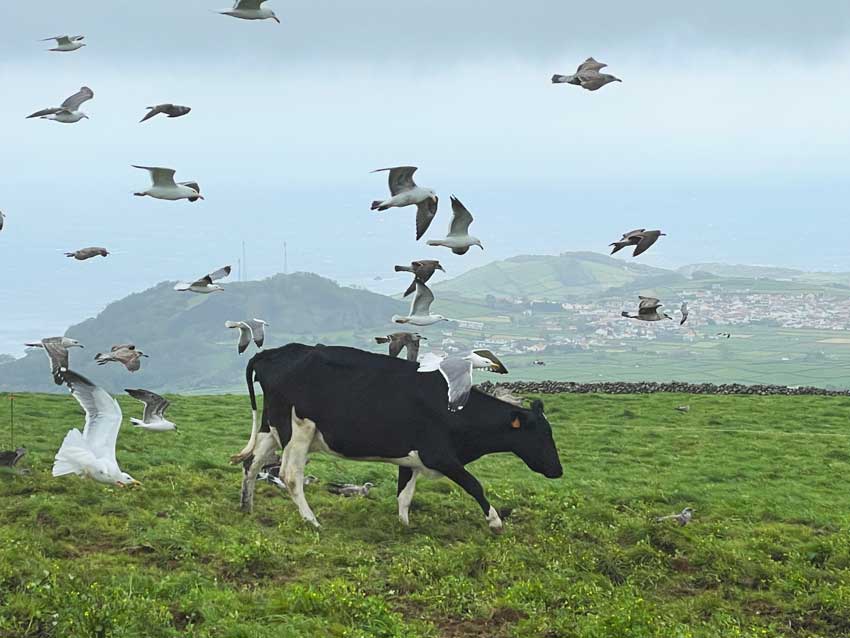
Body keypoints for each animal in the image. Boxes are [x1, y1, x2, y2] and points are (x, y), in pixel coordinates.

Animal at [232, 344, 564, 536]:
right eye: (541, 434)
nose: (558, 470)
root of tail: (272, 353)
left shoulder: (411, 458)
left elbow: (404, 494)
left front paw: (405, 525)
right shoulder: (439, 455)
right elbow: (474, 485)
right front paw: (495, 521)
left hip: (271, 427)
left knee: (252, 463)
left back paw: (247, 507)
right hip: (298, 430)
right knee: (290, 475)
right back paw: (311, 521)